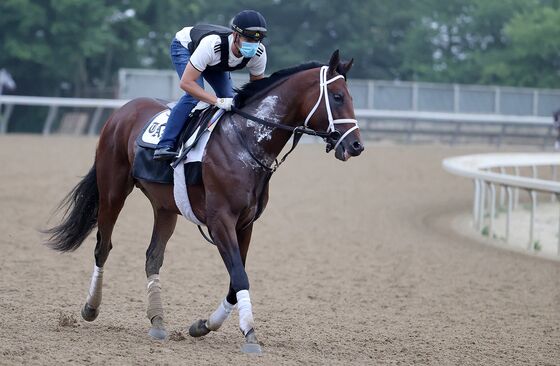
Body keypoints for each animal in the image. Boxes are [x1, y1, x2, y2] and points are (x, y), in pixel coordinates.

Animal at [46, 50, 366, 354]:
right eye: (338, 96)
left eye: (351, 96)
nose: (356, 145)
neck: (246, 141)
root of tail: (122, 111)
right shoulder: (220, 221)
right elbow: (240, 277)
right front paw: (250, 334)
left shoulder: (245, 224)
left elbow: (235, 282)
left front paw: (203, 325)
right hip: (112, 191)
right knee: (103, 246)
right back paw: (91, 307)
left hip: (165, 207)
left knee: (153, 257)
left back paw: (157, 321)